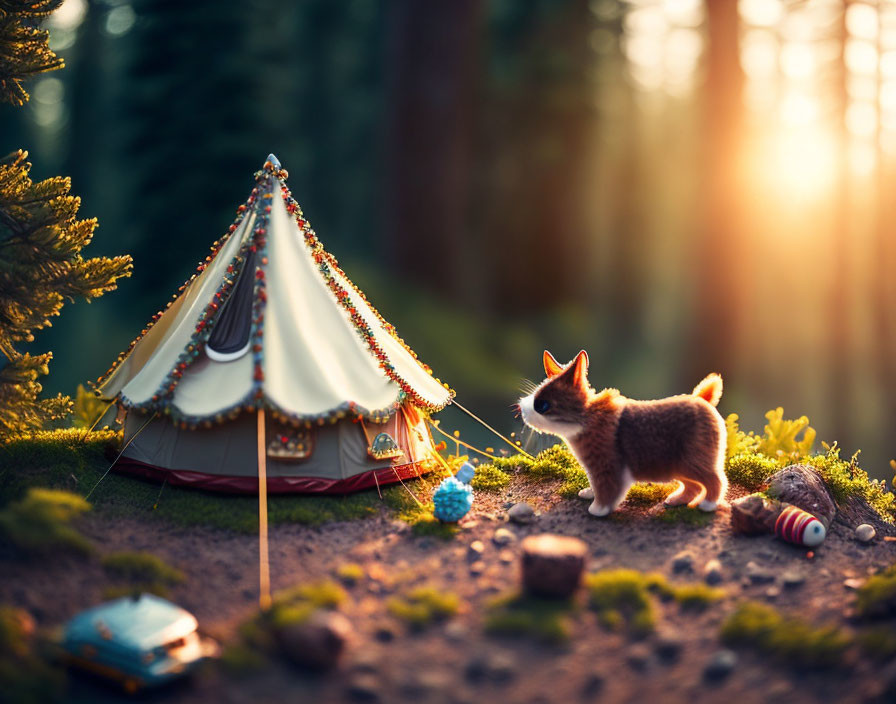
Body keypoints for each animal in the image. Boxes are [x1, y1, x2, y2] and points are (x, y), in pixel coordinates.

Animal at [520, 350, 728, 516]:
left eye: (542, 405)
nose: (522, 409)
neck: (587, 416)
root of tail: (703, 400)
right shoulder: (594, 469)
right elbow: (595, 485)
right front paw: (588, 493)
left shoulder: (607, 466)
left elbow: (606, 490)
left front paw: (598, 510)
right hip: (678, 466)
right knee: (693, 486)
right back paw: (676, 500)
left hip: (695, 461)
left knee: (715, 480)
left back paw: (708, 505)